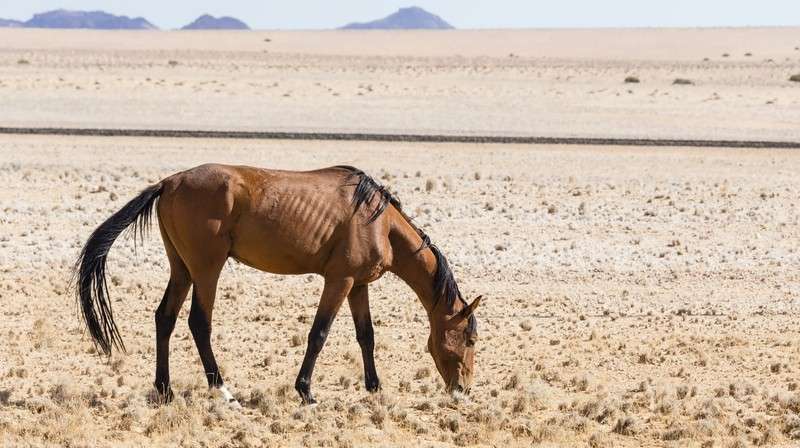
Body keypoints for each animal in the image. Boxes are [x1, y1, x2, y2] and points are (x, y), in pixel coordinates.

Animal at [74, 164, 480, 406]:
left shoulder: (358, 285)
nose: (462, 389)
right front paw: (306, 392)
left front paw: (375, 388)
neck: (377, 220)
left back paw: (165, 390)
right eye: (471, 338)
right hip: (207, 269)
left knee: (165, 318)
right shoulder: (339, 280)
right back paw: (223, 391)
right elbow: (319, 334)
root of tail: (169, 183)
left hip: (182, 269)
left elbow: (366, 335)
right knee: (198, 323)